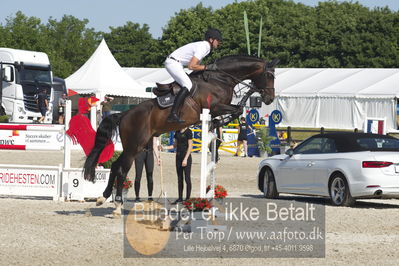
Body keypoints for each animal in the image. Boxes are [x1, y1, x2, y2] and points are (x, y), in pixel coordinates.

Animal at [83, 54, 280, 216]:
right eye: (269, 76)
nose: (269, 98)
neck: (221, 79)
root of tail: (124, 114)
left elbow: (237, 110)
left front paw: (217, 124)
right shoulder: (215, 106)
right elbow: (237, 109)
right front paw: (218, 123)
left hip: (133, 145)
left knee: (116, 166)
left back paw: (103, 198)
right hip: (135, 146)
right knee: (122, 169)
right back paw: (116, 205)